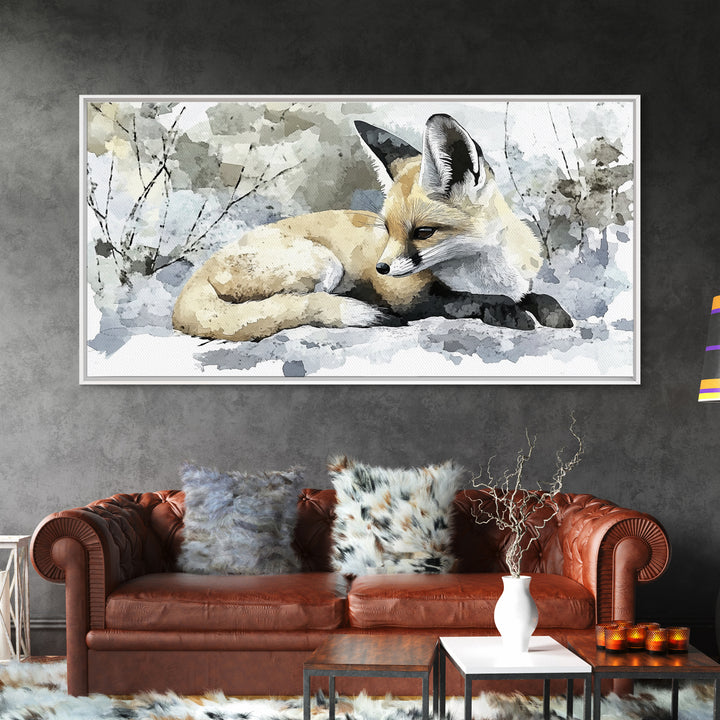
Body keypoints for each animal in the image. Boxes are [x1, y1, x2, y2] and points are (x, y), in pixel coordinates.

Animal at [172, 113, 572, 342]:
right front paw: (509, 313)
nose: (381, 267)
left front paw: (551, 312)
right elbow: (469, 301)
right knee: (288, 308)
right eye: (388, 229)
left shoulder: (521, 282)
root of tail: (193, 280)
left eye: (422, 232)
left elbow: (538, 296)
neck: (486, 272)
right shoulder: (411, 299)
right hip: (324, 264)